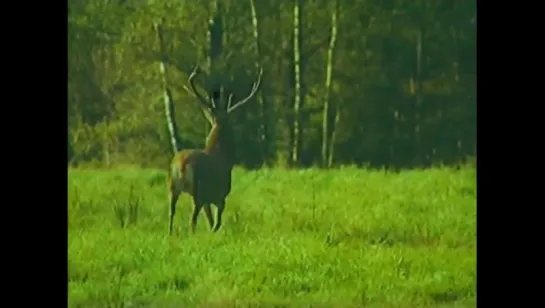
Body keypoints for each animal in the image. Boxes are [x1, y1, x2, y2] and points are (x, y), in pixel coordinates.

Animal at [167, 65, 262, 236]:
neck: (224, 157)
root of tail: (181, 165)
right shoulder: (220, 196)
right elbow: (217, 223)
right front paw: (213, 233)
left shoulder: (209, 200)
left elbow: (211, 221)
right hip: (198, 190)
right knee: (192, 220)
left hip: (172, 187)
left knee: (171, 214)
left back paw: (170, 234)